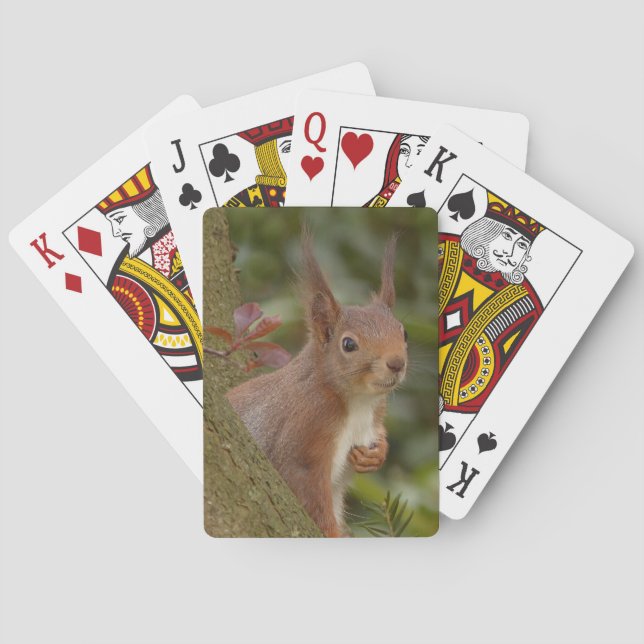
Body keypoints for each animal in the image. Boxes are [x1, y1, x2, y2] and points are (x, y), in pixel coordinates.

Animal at [226, 229, 407, 537]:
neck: (358, 402)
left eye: (403, 333)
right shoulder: (306, 433)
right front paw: (333, 535)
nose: (397, 363)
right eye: (348, 344)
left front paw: (376, 454)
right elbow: (309, 494)